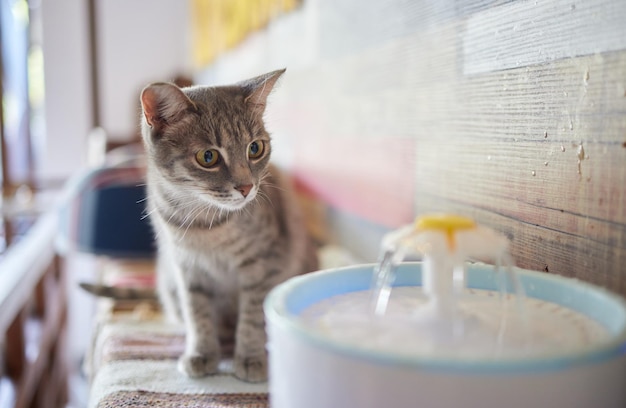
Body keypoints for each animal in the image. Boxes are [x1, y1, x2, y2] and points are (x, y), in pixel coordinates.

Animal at [141, 69, 316, 382]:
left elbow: (252, 316)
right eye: (208, 157)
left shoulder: (264, 264)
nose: (246, 187)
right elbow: (197, 314)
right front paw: (201, 352)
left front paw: (249, 357)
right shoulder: (187, 269)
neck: (205, 224)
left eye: (255, 148)